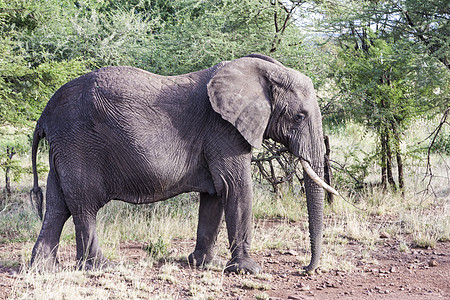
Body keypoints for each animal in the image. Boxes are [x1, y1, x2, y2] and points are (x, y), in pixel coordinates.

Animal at [29, 52, 338, 274]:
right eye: (300, 116)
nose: (304, 270)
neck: (260, 74)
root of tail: (44, 115)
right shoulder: (223, 129)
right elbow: (236, 188)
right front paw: (246, 270)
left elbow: (215, 195)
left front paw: (202, 264)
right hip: (78, 144)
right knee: (84, 207)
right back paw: (101, 269)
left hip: (64, 149)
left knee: (57, 207)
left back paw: (43, 270)